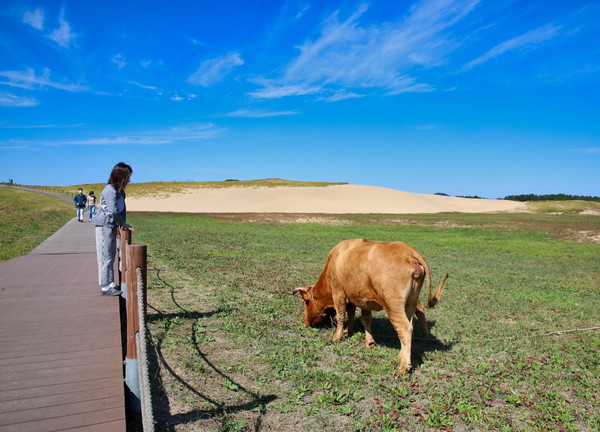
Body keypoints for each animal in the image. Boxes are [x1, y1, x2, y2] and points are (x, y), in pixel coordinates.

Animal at [292, 238, 448, 372]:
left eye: (305, 302)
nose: (305, 322)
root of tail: (408, 251)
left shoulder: (338, 293)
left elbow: (341, 315)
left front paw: (337, 336)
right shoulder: (360, 298)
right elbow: (361, 318)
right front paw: (362, 338)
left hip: (393, 304)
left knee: (404, 328)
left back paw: (404, 365)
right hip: (410, 302)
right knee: (412, 321)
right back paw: (403, 353)